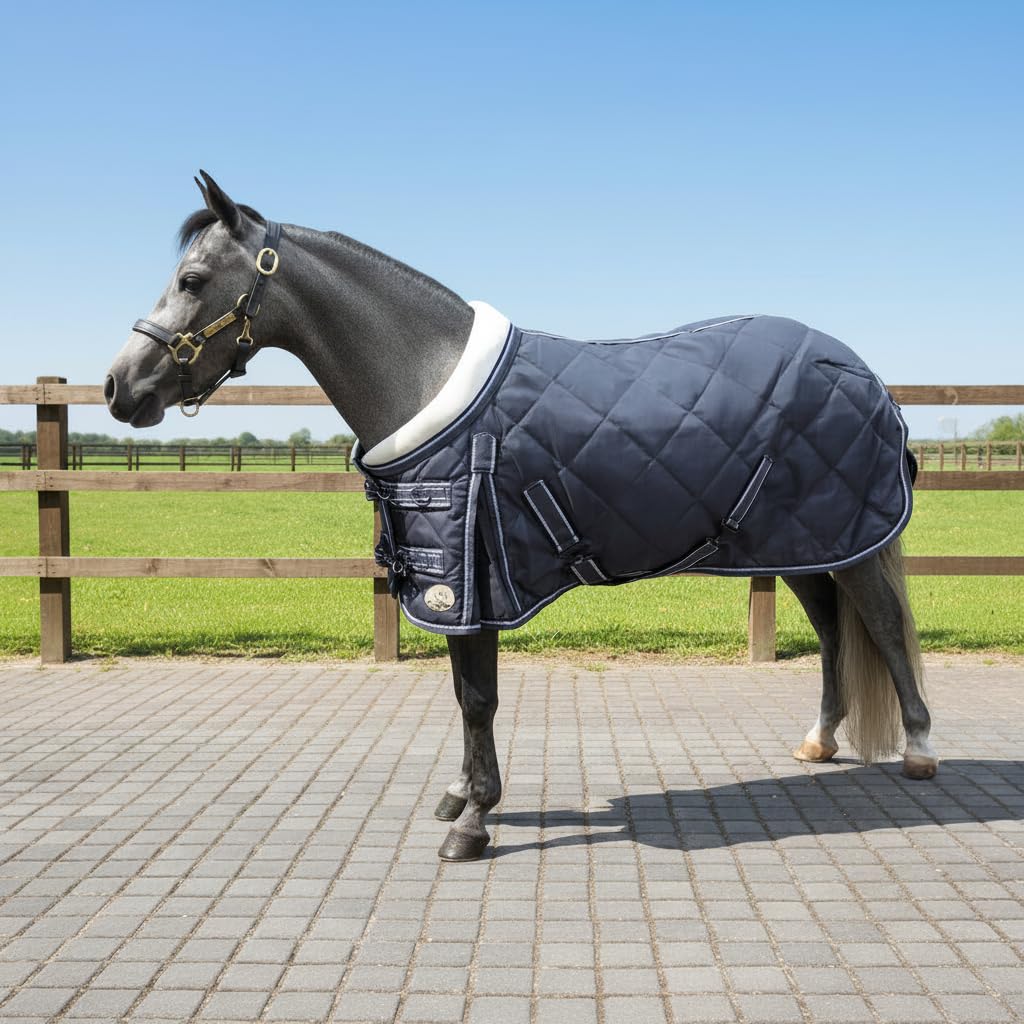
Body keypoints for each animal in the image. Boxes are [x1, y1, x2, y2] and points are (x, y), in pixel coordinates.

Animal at [105, 172, 938, 862]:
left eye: (191, 280)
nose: (119, 387)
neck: (426, 377)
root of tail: (862, 373)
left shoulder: (471, 582)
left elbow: (479, 699)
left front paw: (474, 822)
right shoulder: (449, 585)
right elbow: (462, 695)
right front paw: (458, 797)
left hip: (849, 541)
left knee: (883, 626)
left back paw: (921, 751)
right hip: (806, 546)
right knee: (833, 634)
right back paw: (819, 743)